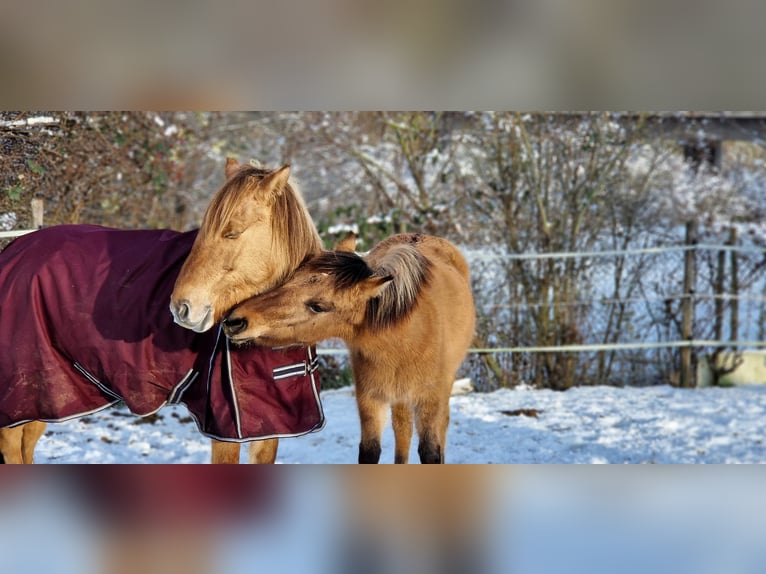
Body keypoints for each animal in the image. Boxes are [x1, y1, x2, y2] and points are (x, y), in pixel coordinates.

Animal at [0, 160, 324, 466]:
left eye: (232, 232)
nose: (181, 307)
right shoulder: (224, 429)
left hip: (48, 397)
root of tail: (13, 250)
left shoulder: (269, 430)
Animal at [222, 234, 476, 464]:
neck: (406, 339)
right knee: (402, 429)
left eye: (318, 306)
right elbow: (370, 451)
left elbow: (430, 452)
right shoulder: (369, 399)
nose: (236, 320)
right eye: (290, 278)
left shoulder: (429, 401)